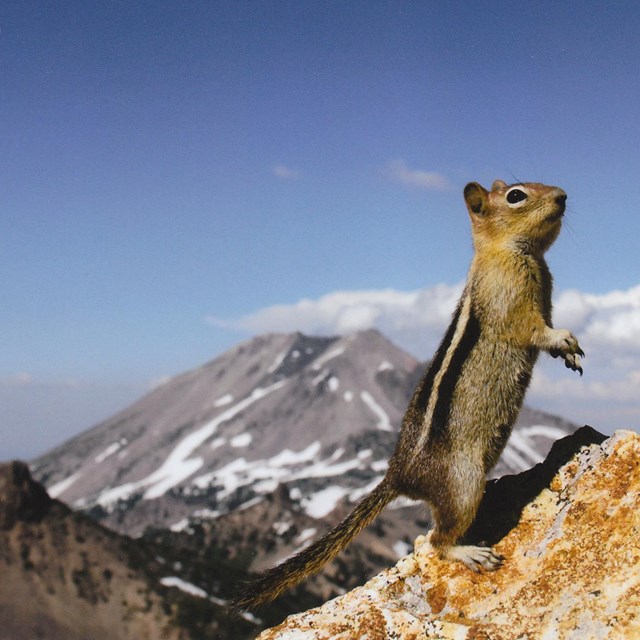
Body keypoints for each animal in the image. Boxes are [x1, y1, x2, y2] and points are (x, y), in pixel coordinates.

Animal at [231, 179, 584, 608]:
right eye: (515, 195)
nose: (563, 196)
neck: (510, 253)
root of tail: (399, 475)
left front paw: (570, 353)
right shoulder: (512, 303)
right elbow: (532, 329)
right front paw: (563, 338)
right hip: (465, 483)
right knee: (437, 541)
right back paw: (471, 552)